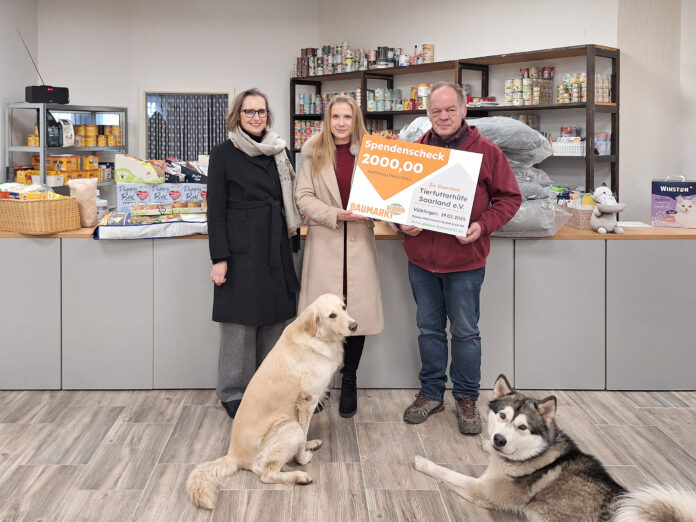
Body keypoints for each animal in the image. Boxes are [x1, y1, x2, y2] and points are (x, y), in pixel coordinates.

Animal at [186, 292, 356, 508]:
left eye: (344, 307)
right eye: (332, 315)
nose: (355, 326)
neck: (316, 336)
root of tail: (233, 455)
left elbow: (305, 433)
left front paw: (307, 445)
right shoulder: (307, 401)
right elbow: (303, 435)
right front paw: (302, 458)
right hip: (289, 426)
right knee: (266, 474)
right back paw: (299, 476)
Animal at [414, 372, 696, 516]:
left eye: (523, 427)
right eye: (502, 416)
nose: (499, 439)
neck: (533, 455)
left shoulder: (482, 491)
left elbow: (447, 472)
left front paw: (422, 462)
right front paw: (486, 446)